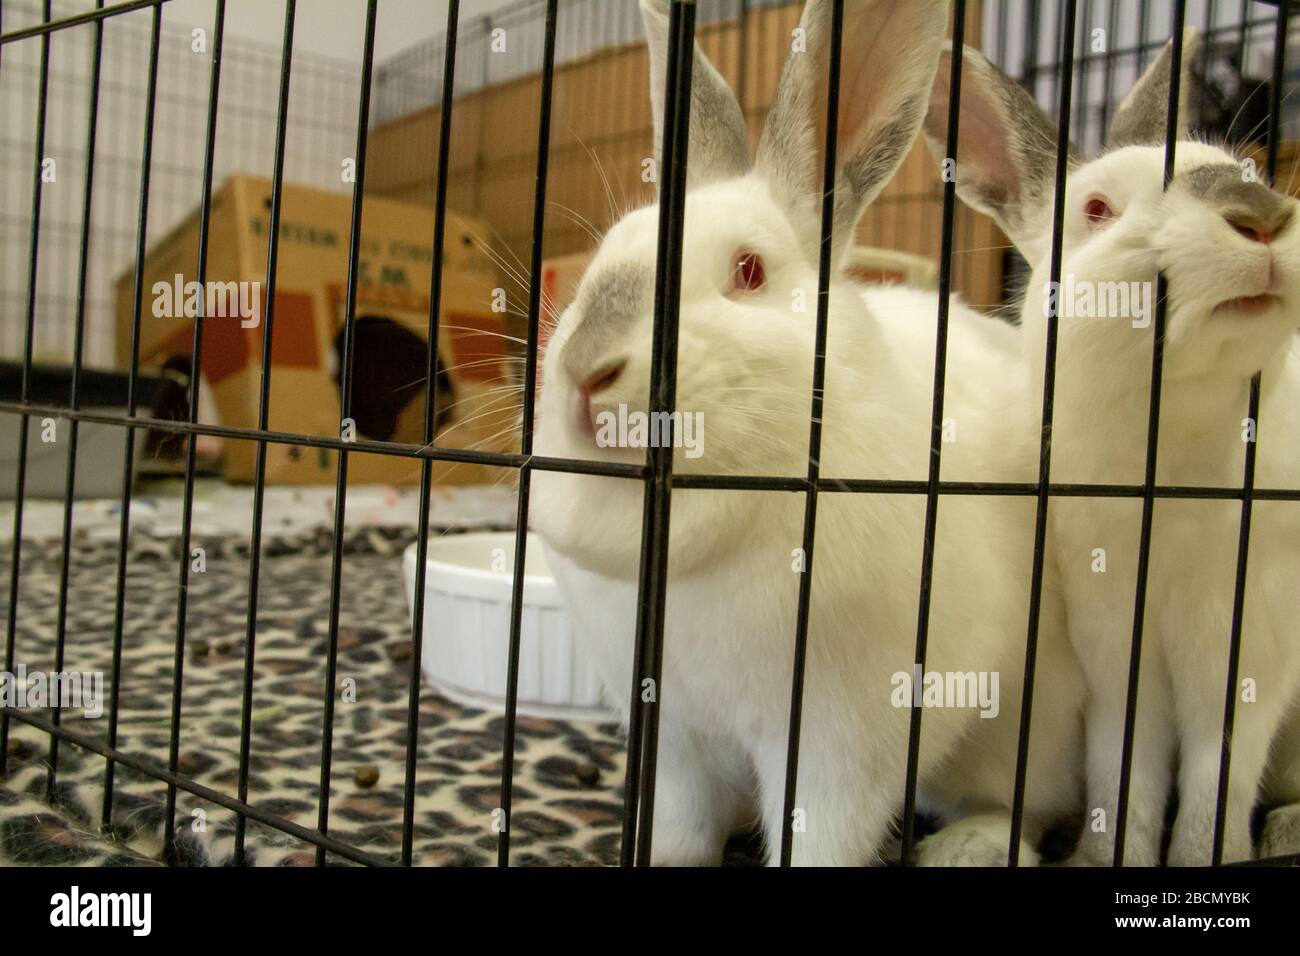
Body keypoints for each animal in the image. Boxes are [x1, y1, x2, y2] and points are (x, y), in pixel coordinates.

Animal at [530, 0, 1085, 866]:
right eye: (602, 259)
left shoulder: (840, 739)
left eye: (749, 271)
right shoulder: (674, 731)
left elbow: (822, 832)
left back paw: (969, 844)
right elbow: (683, 823)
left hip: (1030, 726)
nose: (588, 372)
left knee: (1027, 803)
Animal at [923, 33, 1300, 865]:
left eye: (1252, 171)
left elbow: (1216, 778)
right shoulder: (1115, 643)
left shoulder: (1245, 651)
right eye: (1096, 209)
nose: (1263, 217)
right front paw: (1105, 857)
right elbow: (1125, 767)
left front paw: (1204, 859)